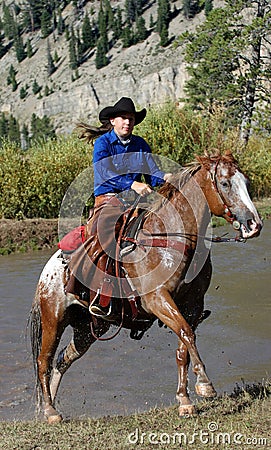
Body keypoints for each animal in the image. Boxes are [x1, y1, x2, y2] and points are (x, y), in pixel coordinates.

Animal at [30, 151, 264, 422]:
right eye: (225, 183)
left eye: (246, 182)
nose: (254, 224)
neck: (171, 238)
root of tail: (47, 270)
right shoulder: (157, 299)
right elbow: (186, 333)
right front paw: (205, 384)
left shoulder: (193, 304)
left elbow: (183, 346)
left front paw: (185, 400)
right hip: (53, 319)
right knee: (43, 361)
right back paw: (50, 411)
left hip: (87, 329)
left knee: (62, 360)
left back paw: (52, 407)